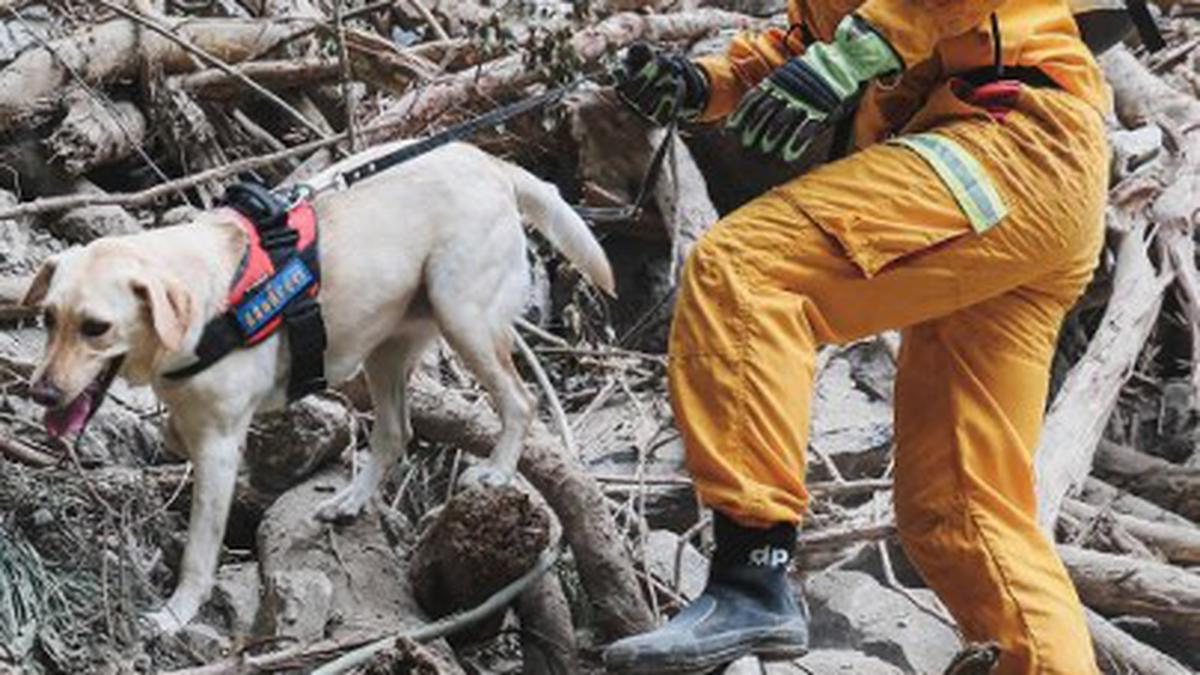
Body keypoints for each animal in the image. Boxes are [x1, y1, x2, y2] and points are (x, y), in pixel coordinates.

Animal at [23, 142, 614, 629]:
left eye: (96, 328)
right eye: (48, 318)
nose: (41, 394)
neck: (202, 302)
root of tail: (491, 163)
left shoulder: (219, 449)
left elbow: (198, 549)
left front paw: (177, 613)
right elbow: (174, 433)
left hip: (462, 315)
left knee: (520, 399)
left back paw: (496, 471)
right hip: (386, 348)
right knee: (395, 433)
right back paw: (351, 500)